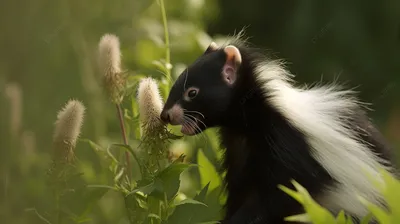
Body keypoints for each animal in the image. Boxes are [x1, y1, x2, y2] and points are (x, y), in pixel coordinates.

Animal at [159, 36, 396, 223]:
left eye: (192, 92)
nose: (165, 114)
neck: (248, 126)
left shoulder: (288, 150)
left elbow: (275, 199)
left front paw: (239, 220)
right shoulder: (239, 155)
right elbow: (240, 192)